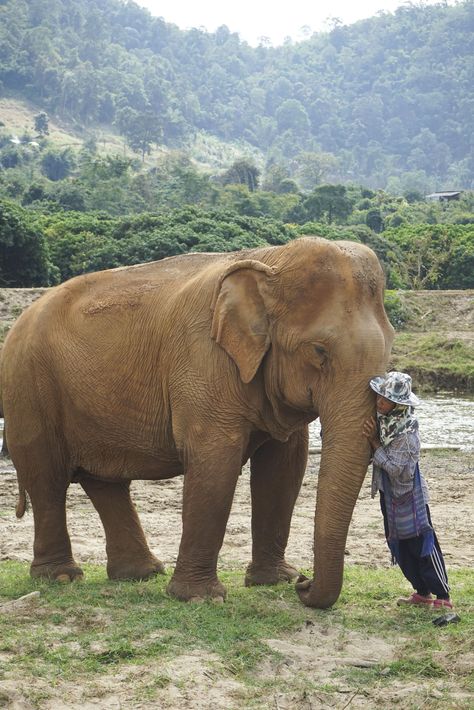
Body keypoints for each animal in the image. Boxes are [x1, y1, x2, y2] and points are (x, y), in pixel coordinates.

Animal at [0, 236, 392, 608]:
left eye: (389, 351)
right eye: (319, 352)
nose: (305, 583)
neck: (272, 258)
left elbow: (283, 467)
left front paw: (275, 581)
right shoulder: (202, 356)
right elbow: (215, 459)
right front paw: (201, 598)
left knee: (105, 481)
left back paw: (141, 574)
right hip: (27, 388)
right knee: (47, 477)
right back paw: (62, 577)